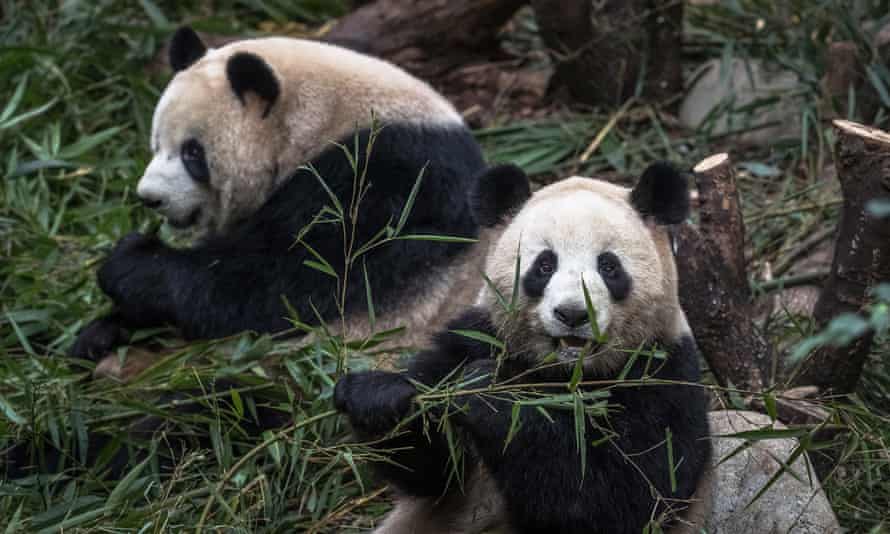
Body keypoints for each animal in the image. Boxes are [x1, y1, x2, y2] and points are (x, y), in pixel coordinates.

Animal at [70, 26, 500, 376]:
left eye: (193, 153)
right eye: (157, 144)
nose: (150, 198)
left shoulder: (392, 179)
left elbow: (284, 281)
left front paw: (130, 260)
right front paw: (100, 331)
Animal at [336, 163, 712, 534]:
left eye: (609, 266)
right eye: (544, 265)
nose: (573, 314)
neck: (567, 373)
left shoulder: (660, 375)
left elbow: (624, 497)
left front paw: (489, 392)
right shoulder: (476, 337)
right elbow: (434, 474)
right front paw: (378, 396)